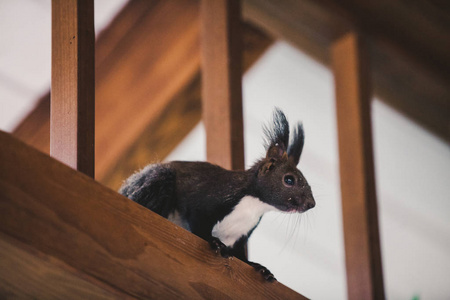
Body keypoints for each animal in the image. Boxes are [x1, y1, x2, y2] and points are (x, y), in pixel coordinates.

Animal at [119, 108, 316, 282]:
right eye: (289, 180)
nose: (311, 204)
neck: (253, 205)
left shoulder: (240, 235)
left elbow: (240, 256)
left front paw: (258, 267)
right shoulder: (206, 202)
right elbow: (200, 226)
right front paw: (214, 241)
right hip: (157, 180)